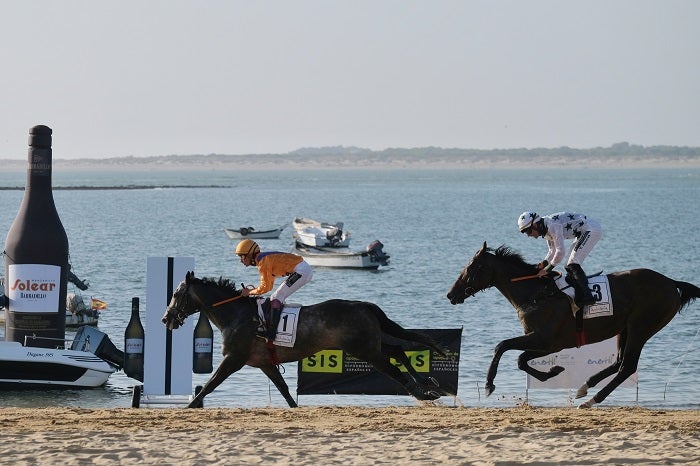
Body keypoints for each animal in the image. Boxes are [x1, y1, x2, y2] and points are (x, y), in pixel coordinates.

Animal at [163, 272, 448, 406]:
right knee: (397, 350)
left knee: (393, 367)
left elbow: (210, 385)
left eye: (176, 294)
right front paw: (295, 408)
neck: (237, 315)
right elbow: (284, 390)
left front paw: (190, 406)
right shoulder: (264, 363)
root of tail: (364, 305)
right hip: (368, 345)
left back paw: (422, 392)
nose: (166, 318)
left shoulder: (234, 359)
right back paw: (427, 384)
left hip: (365, 350)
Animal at [446, 244, 696, 408]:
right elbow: (520, 359)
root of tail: (671, 283)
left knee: (627, 366)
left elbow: (503, 347)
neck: (537, 294)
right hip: (624, 329)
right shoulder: (545, 343)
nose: (450, 294)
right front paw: (553, 371)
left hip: (641, 328)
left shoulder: (546, 340)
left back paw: (592, 400)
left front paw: (489, 385)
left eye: (471, 267)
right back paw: (584, 387)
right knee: (619, 362)